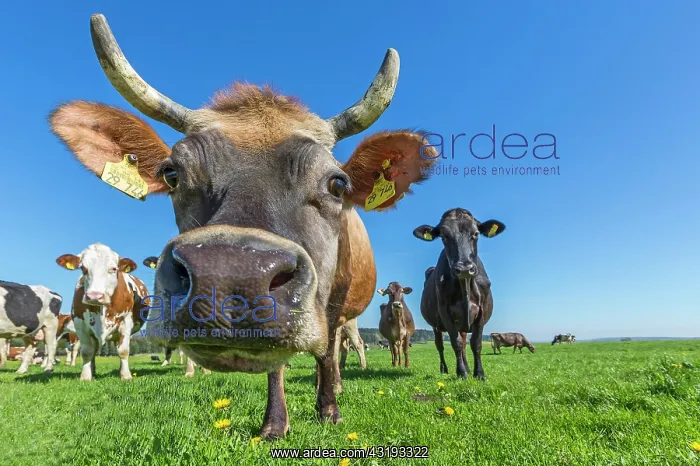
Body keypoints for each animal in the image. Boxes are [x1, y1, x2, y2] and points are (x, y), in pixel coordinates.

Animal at [55, 243, 149, 381]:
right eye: (83, 268)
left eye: (114, 269)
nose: (94, 296)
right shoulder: (80, 323)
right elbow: (87, 352)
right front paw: (86, 376)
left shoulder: (126, 321)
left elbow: (123, 351)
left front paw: (126, 375)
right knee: (94, 350)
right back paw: (93, 370)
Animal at [413, 208, 505, 379]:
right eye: (444, 236)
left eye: (476, 233)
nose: (464, 268)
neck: (465, 286)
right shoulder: (445, 312)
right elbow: (455, 343)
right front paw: (461, 373)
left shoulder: (481, 311)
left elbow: (475, 343)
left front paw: (479, 373)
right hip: (436, 326)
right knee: (441, 346)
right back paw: (445, 369)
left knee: (463, 344)